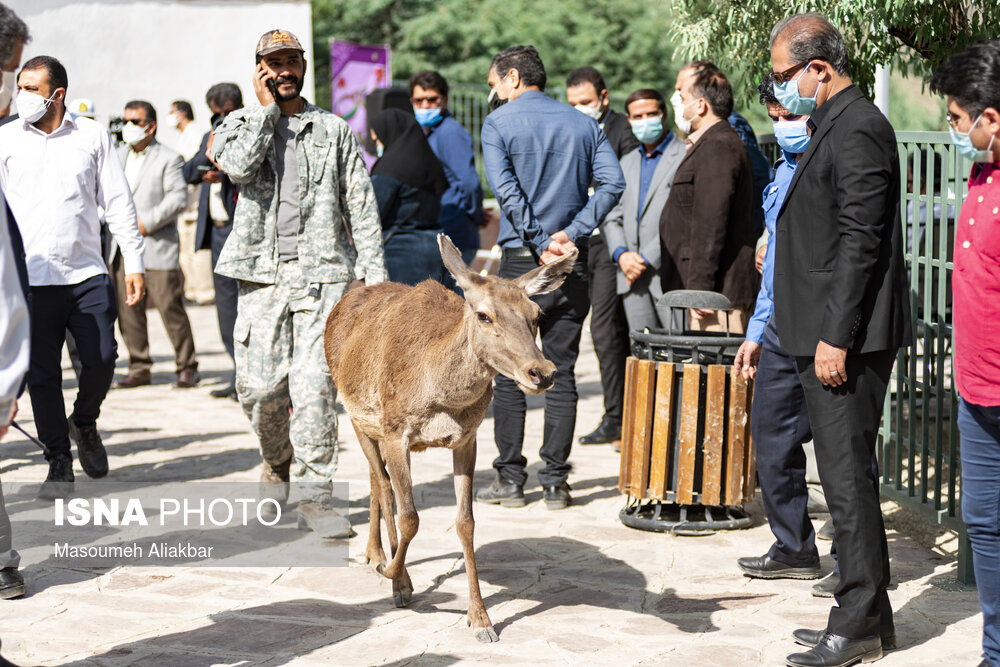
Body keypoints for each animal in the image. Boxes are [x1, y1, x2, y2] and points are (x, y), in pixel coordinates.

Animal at [326, 235, 580, 640]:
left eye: (536, 315)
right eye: (483, 315)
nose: (542, 372)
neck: (439, 396)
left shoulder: (467, 438)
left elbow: (465, 522)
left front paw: (481, 619)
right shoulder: (396, 430)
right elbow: (410, 516)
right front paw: (398, 579)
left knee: (375, 479)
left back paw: (374, 552)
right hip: (353, 412)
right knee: (382, 483)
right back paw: (386, 565)